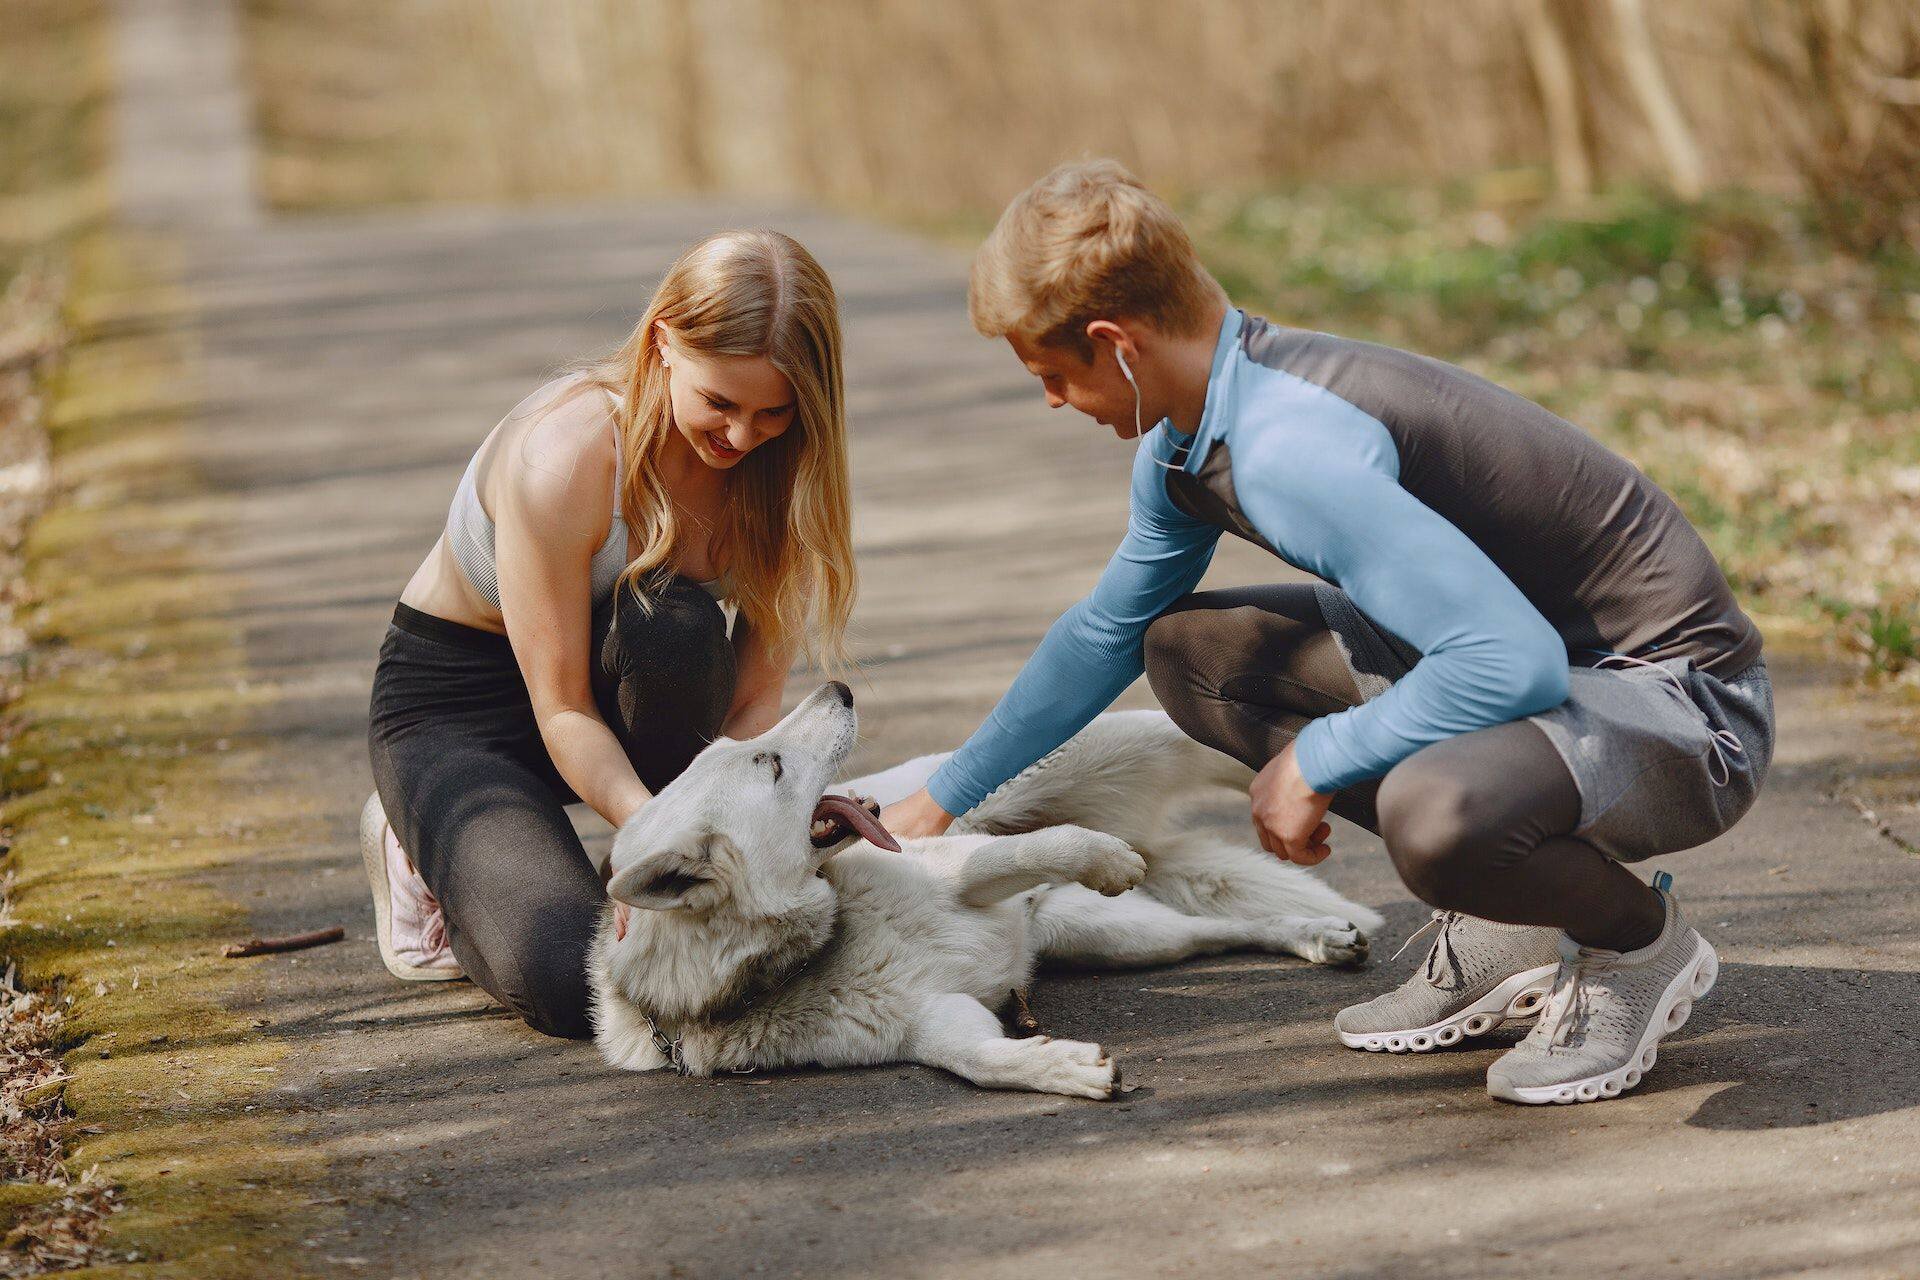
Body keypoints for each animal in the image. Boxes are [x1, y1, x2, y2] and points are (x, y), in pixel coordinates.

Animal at [587, 687, 1382, 1097]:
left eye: (750, 751)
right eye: (770, 764)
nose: (839, 688)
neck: (826, 941)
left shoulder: (968, 868)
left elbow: (1045, 846)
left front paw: (1101, 857)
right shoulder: (937, 1023)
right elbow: (983, 1064)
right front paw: (1065, 1068)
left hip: (1113, 755)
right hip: (1123, 941)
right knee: (1216, 932)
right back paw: (1314, 934)